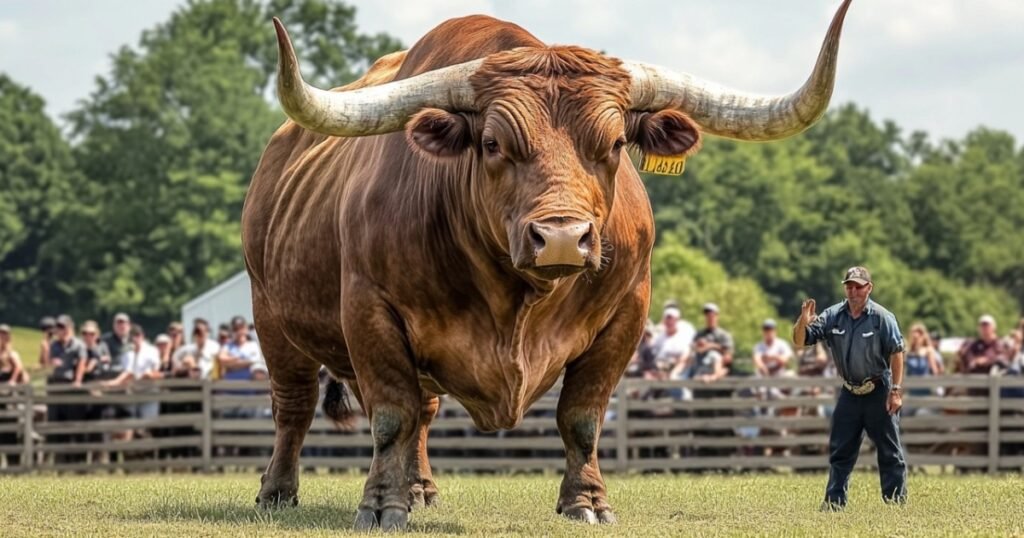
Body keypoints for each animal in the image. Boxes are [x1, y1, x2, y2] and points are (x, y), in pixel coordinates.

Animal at [242, 1, 851, 530]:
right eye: (491, 143)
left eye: (616, 142)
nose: (561, 238)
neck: (515, 301)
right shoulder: (371, 311)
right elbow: (392, 415)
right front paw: (381, 507)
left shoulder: (627, 313)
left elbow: (581, 416)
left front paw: (587, 503)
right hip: (270, 316)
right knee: (294, 407)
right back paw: (279, 492)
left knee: (426, 410)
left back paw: (421, 489)